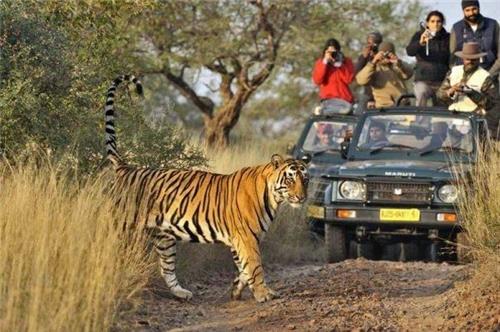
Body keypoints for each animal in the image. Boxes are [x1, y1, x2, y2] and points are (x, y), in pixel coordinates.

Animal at [103, 75, 308, 304]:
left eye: (305, 179)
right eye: (290, 179)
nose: (302, 197)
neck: (273, 198)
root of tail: (125, 168)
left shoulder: (238, 240)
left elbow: (243, 269)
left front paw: (236, 291)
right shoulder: (246, 237)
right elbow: (254, 267)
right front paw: (263, 294)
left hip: (164, 237)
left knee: (166, 267)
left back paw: (181, 293)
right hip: (123, 226)